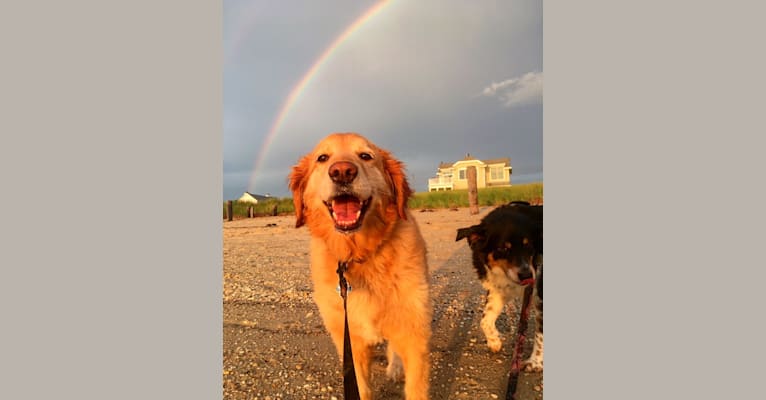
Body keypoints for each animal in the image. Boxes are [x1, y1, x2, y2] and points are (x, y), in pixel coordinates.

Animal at [456, 203, 544, 372]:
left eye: (529, 245)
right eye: (503, 248)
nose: (527, 276)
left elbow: (541, 334)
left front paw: (535, 362)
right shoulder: (498, 289)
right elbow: (485, 320)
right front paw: (494, 341)